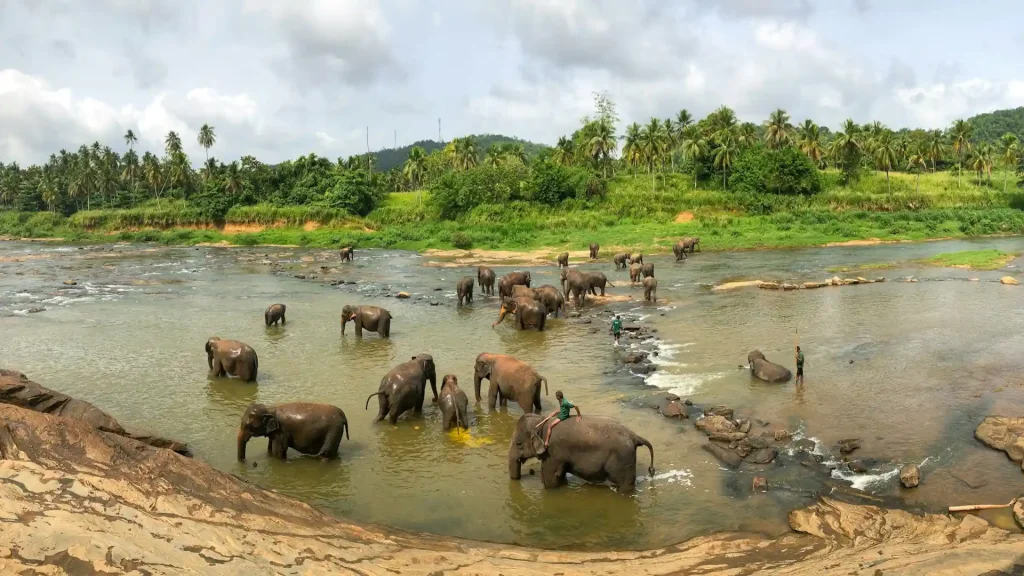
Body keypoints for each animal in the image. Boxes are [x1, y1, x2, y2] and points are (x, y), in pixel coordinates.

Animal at [508, 413, 655, 492]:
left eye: (518, 443)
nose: (522, 476)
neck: (542, 421)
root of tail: (634, 436)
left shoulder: (552, 452)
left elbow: (550, 478)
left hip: (623, 458)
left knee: (624, 484)